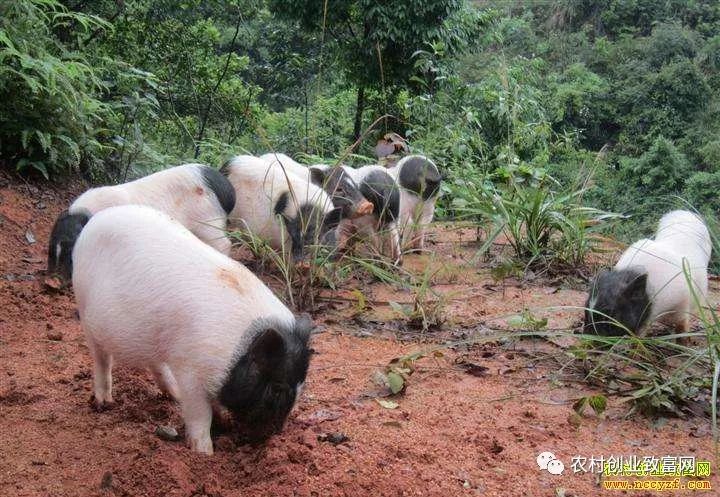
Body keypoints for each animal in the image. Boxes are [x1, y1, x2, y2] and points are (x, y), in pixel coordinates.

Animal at [47, 163, 233, 280]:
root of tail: (227, 190)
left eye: (70, 248)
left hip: (209, 221)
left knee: (226, 244)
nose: (52, 281)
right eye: (52, 243)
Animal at [71, 204, 310, 454]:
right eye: (277, 388)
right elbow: (200, 415)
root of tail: (95, 220)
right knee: (101, 359)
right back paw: (104, 403)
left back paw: (173, 395)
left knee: (155, 363)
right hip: (85, 311)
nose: (274, 434)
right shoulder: (191, 371)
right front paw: (204, 452)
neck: (235, 352)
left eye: (301, 386)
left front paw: (223, 423)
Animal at [588, 209, 712, 338]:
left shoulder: (683, 302)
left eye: (611, 313)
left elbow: (681, 325)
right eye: (587, 308)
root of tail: (686, 213)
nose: (589, 336)